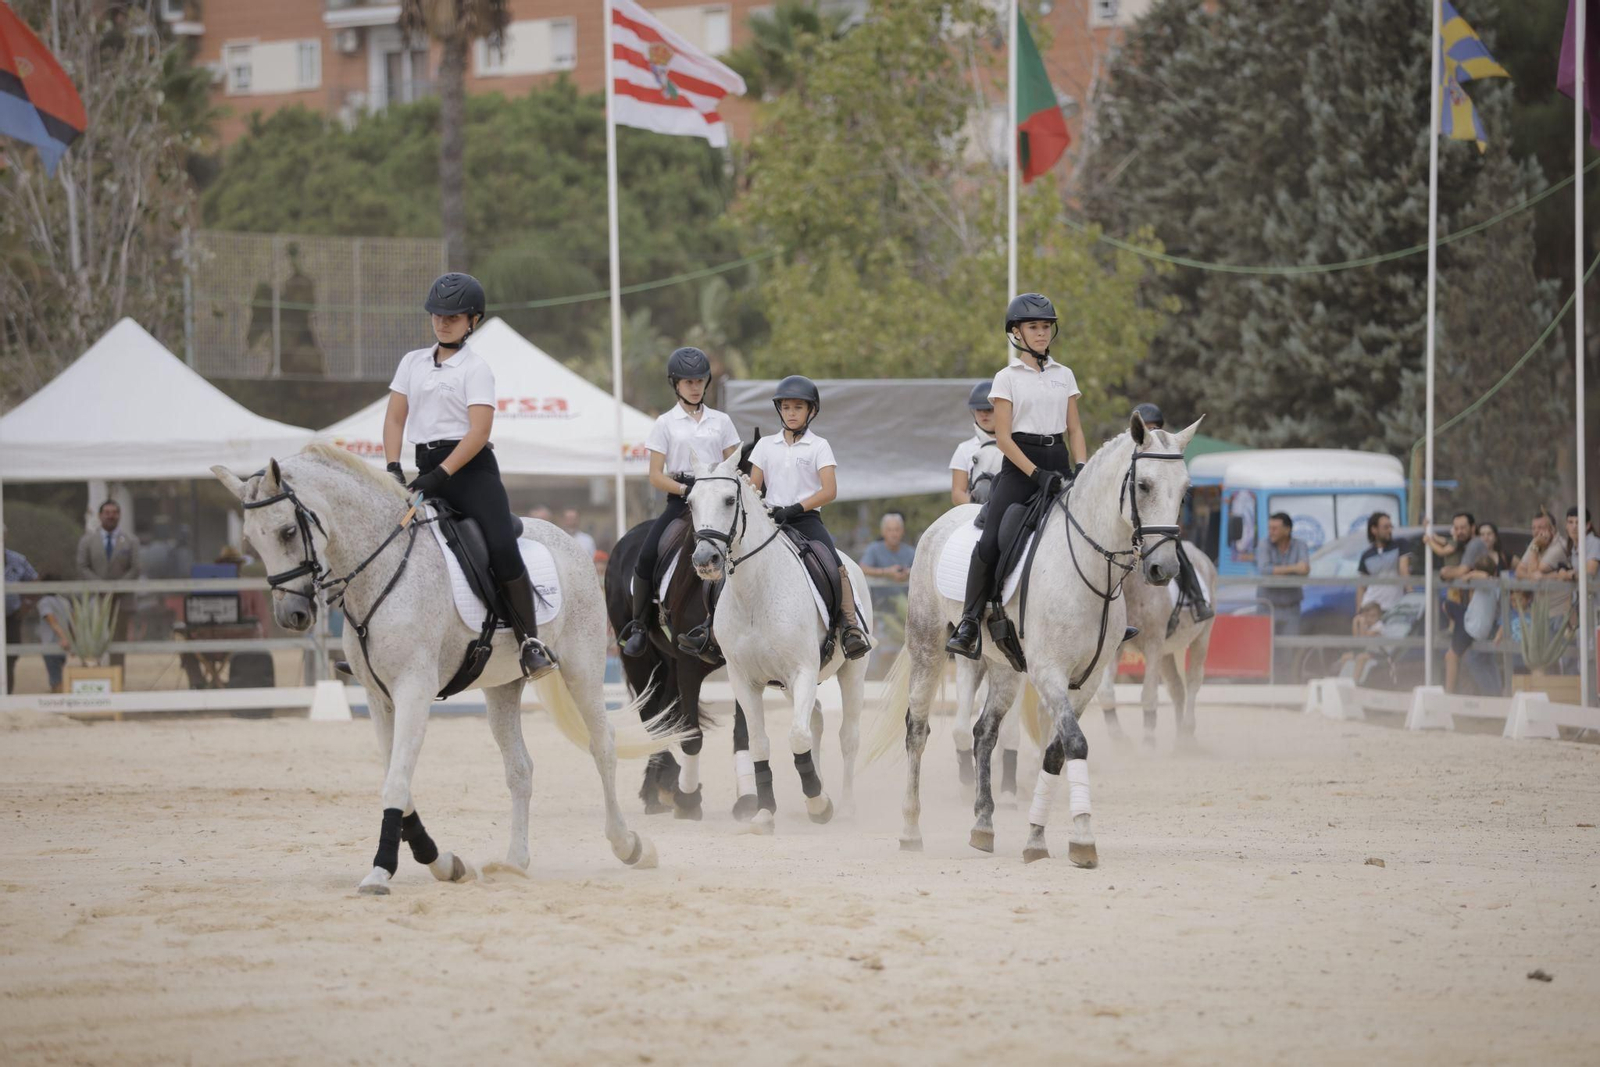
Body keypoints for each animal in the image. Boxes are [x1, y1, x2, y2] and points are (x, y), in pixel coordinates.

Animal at [213, 444, 679, 896]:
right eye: (251, 539)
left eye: (288, 532)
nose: (291, 614)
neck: (381, 569)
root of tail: (568, 541)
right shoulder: (379, 699)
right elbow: (398, 781)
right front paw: (442, 862)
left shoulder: (414, 691)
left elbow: (396, 782)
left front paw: (381, 872)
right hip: (503, 686)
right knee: (520, 769)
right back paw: (515, 861)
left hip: (581, 668)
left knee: (603, 746)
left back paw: (628, 844)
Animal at [684, 453, 874, 833]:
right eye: (691, 502)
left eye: (729, 500)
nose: (704, 561)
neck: (754, 592)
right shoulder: (744, 681)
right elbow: (760, 744)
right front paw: (765, 812)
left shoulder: (802, 671)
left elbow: (796, 737)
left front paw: (819, 805)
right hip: (790, 685)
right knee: (816, 722)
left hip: (852, 673)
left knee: (848, 736)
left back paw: (845, 805)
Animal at [866, 413, 1199, 865]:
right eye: (1144, 485)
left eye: (1184, 490)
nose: (1163, 569)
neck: (1089, 570)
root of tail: (942, 523)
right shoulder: (1049, 673)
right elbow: (1075, 743)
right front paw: (1082, 838)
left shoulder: (1086, 680)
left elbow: (1056, 750)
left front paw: (1038, 838)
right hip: (928, 648)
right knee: (918, 730)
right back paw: (910, 830)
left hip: (1005, 667)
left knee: (984, 733)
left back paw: (983, 825)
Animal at [1094, 544, 1218, 745]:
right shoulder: (1115, 647)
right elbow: (1105, 692)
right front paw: (1118, 737)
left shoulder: (1153, 645)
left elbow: (1149, 694)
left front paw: (1148, 740)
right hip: (1166, 653)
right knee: (1176, 689)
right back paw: (1179, 740)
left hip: (1201, 638)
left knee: (1193, 681)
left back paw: (1187, 732)